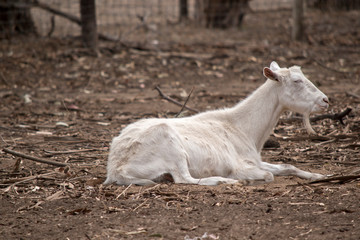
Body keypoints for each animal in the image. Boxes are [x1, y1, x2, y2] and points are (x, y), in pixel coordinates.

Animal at [103, 60, 330, 186]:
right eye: (297, 81)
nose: (325, 100)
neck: (244, 130)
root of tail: (116, 168)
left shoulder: (255, 160)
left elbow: (288, 166)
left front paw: (320, 174)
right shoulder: (239, 164)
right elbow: (268, 175)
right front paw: (245, 179)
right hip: (170, 145)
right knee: (185, 179)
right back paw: (226, 180)